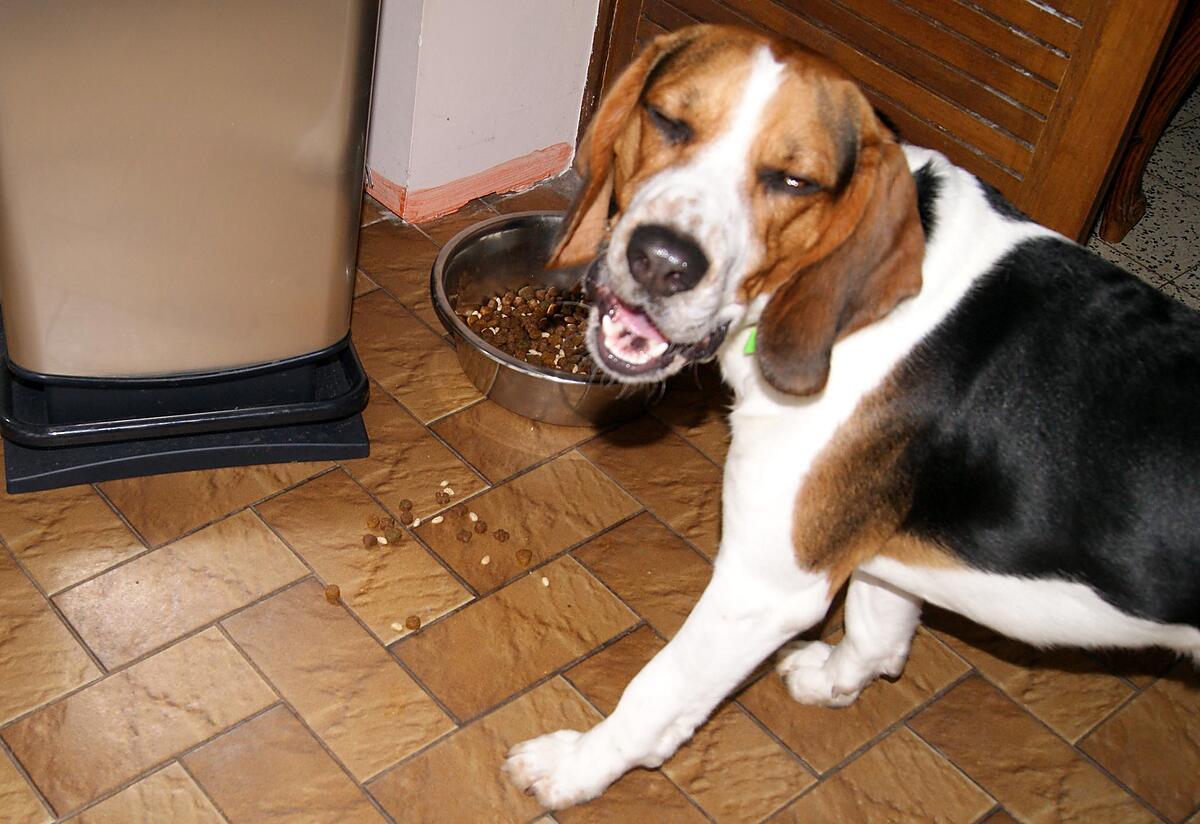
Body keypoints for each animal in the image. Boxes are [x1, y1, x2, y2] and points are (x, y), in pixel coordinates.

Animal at [501, 22, 1195, 810]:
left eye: (793, 181)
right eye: (670, 120)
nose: (662, 261)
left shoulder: (763, 588)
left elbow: (660, 690)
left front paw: (574, 767)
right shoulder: (878, 559)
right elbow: (878, 633)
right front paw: (835, 680)